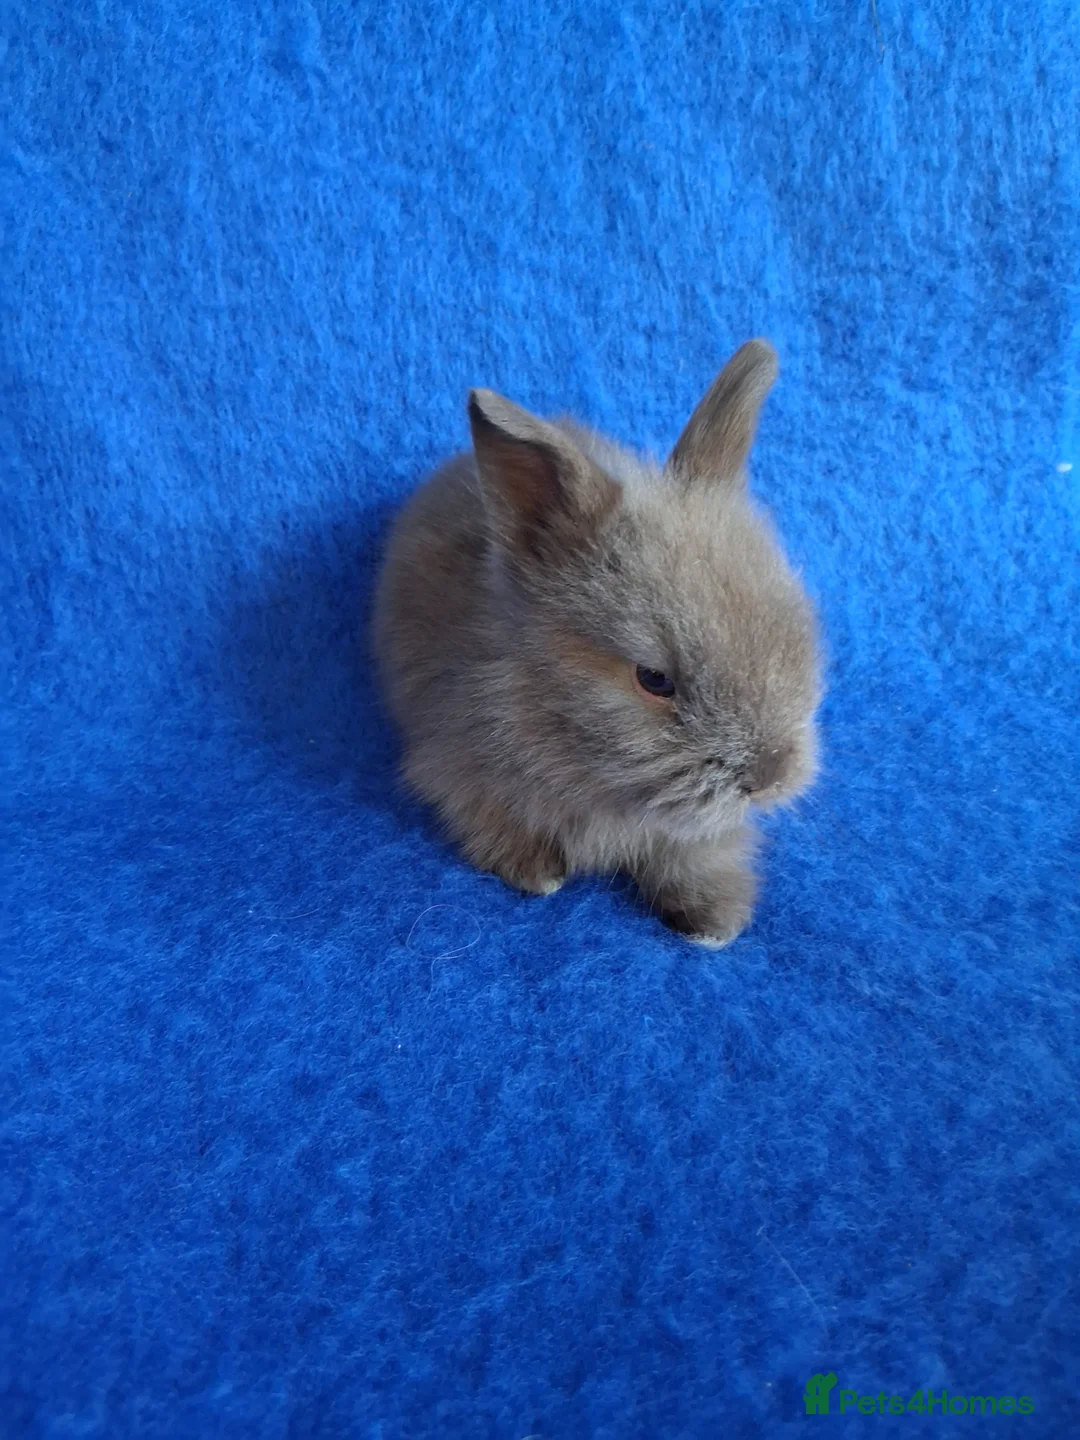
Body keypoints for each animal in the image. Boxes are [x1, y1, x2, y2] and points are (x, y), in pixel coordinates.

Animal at [372, 339, 823, 946]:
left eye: (794, 632)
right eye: (654, 679)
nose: (769, 777)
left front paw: (713, 919)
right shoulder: (452, 766)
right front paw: (538, 873)